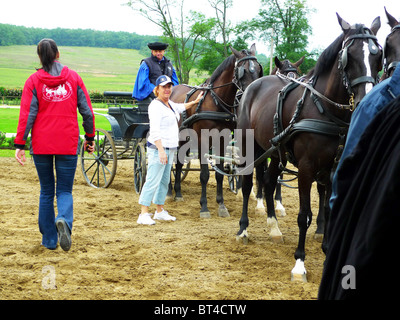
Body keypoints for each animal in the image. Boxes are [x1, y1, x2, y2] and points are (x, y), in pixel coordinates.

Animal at [170, 44, 264, 218]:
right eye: (243, 71)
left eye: (258, 69)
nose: (253, 92)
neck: (215, 101)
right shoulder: (203, 140)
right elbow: (204, 175)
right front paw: (204, 207)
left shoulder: (223, 139)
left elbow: (219, 174)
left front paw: (221, 205)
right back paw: (170, 191)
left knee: (178, 164)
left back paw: (178, 193)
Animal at [236, 13, 382, 282]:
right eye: (349, 56)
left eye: (377, 55)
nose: (366, 99)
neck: (325, 109)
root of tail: (253, 86)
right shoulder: (306, 168)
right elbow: (304, 215)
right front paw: (299, 263)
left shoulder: (333, 169)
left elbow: (328, 208)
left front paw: (326, 252)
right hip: (247, 145)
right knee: (249, 182)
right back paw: (243, 230)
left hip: (277, 152)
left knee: (270, 181)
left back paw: (274, 227)